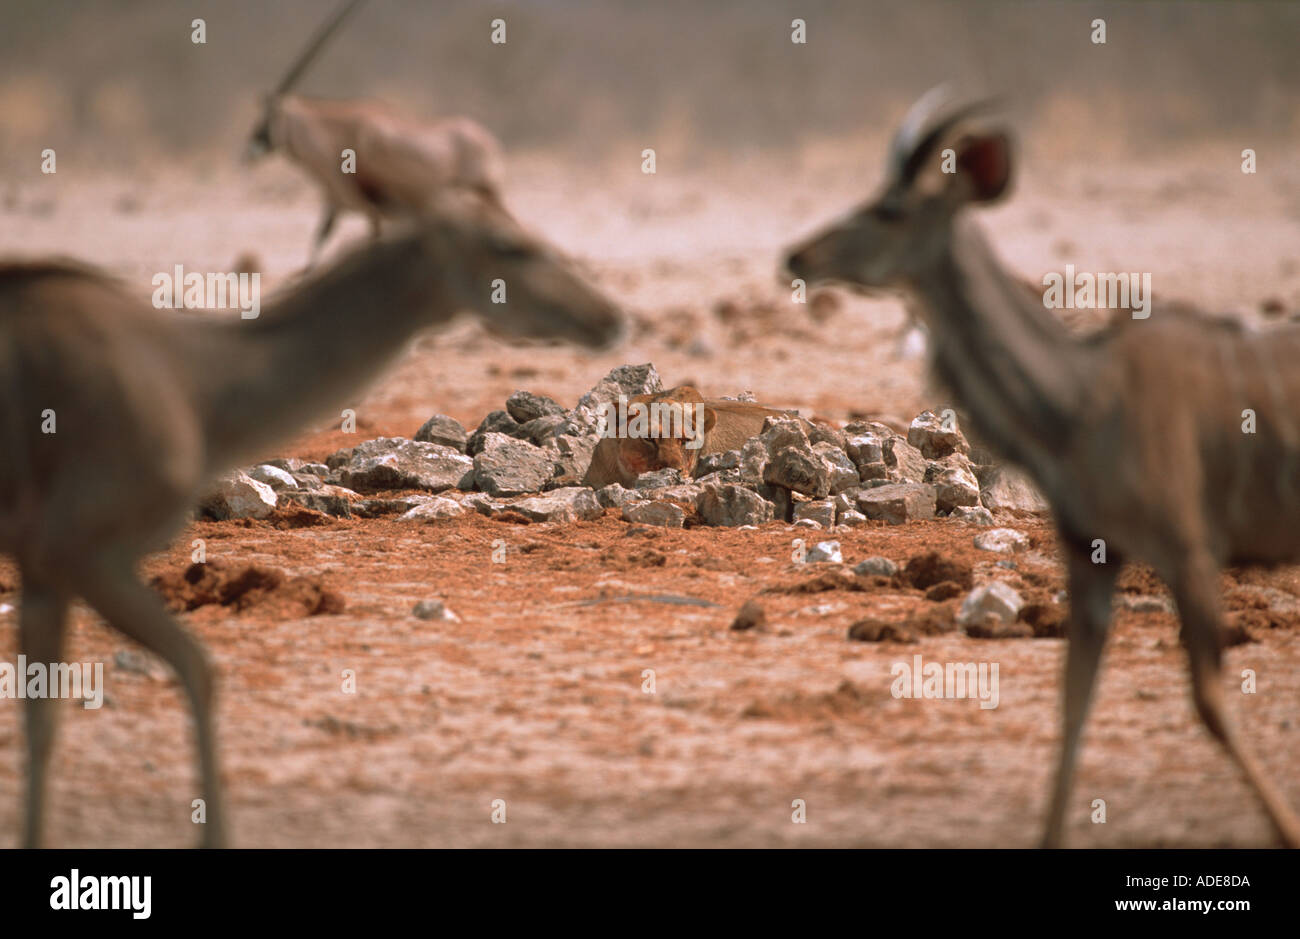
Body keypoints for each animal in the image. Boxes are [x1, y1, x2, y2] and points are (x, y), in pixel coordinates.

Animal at [244, 0, 501, 265]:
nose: (250, 150)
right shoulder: (336, 205)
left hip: (483, 190)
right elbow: (316, 248)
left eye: (269, 116)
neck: (332, 134)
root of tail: (488, 140)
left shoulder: (372, 209)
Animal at [785, 89, 1300, 847]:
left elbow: (1208, 700)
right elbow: (1073, 701)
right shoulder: (1092, 553)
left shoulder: (1188, 549)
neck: (1083, 395)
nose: (796, 254)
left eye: (890, 209)